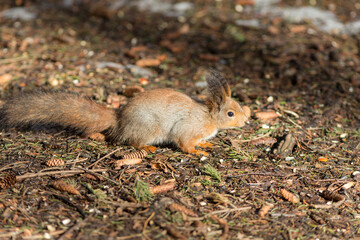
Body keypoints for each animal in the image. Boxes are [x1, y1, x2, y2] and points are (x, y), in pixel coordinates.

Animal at [0, 69, 250, 156]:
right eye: (230, 113)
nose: (246, 122)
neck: (208, 117)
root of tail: (120, 119)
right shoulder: (188, 128)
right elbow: (185, 143)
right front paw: (197, 151)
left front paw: (205, 143)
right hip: (149, 129)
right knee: (132, 141)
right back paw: (146, 147)